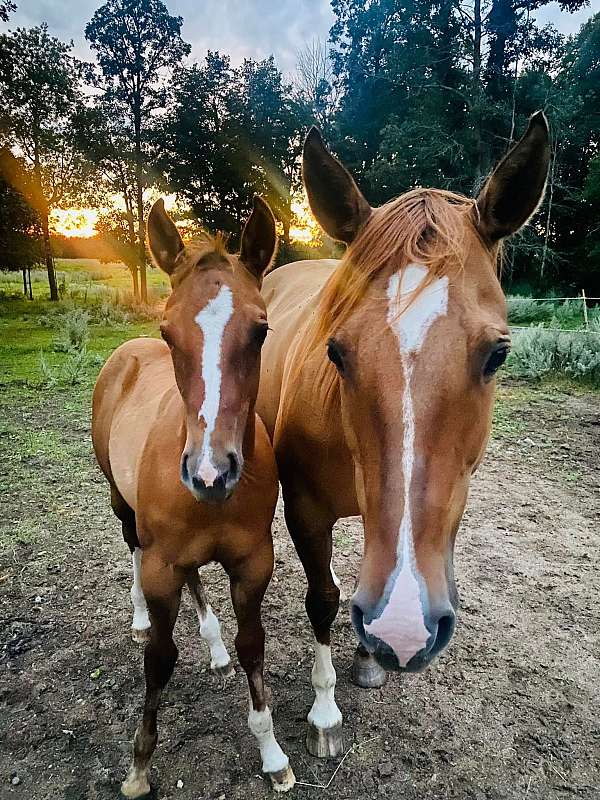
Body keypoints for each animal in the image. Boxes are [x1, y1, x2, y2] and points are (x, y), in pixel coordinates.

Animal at [91, 196, 296, 796]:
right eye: (168, 331)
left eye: (261, 331)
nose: (211, 473)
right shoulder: (163, 565)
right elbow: (159, 659)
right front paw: (138, 767)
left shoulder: (253, 562)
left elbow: (253, 646)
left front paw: (273, 754)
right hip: (123, 507)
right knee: (132, 545)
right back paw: (139, 615)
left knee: (196, 579)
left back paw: (215, 644)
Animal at [257, 112, 550, 757]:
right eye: (336, 352)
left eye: (497, 354)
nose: (404, 626)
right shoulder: (305, 508)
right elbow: (322, 598)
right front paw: (324, 714)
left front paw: (368, 654)